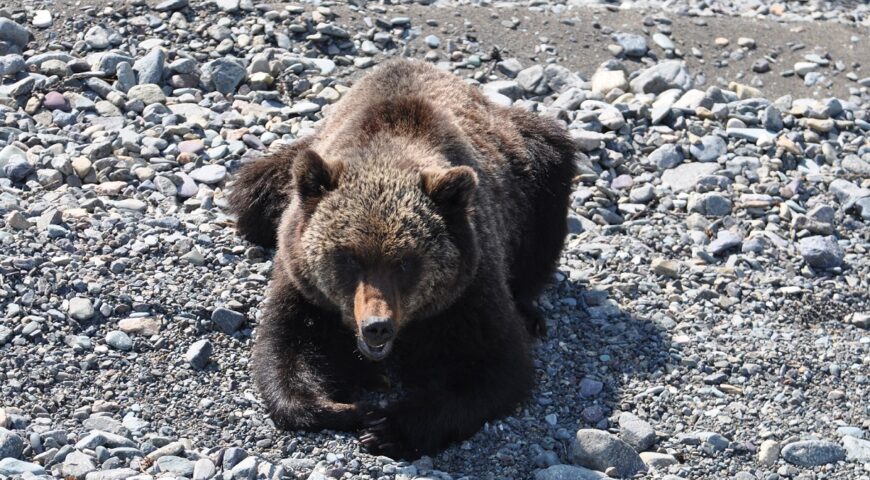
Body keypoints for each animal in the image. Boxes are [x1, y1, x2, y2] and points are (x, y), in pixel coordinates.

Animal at [228, 59, 576, 459]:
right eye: (349, 259)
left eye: (406, 263)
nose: (377, 326)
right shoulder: (302, 281)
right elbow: (287, 349)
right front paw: (337, 405)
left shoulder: (469, 288)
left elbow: (495, 366)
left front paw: (388, 426)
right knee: (252, 191)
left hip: (530, 173)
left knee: (552, 174)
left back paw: (531, 309)